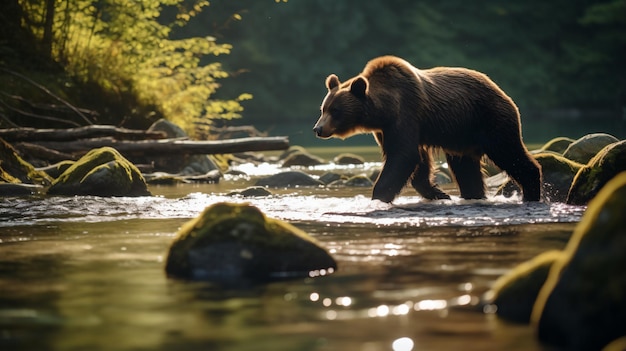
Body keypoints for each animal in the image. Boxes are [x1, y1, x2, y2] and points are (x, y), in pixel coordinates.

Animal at [312, 55, 540, 204]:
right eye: (323, 108)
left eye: (335, 110)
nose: (318, 128)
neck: (384, 111)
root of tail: (501, 90)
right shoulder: (387, 130)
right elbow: (417, 160)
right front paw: (439, 193)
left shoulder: (406, 114)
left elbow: (403, 156)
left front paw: (379, 196)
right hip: (462, 136)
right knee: (466, 168)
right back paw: (474, 194)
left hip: (489, 118)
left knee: (509, 152)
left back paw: (531, 192)